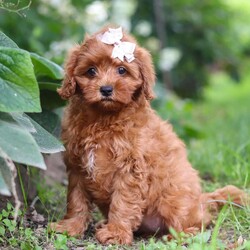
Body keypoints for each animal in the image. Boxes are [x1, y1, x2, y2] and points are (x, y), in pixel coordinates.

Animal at [51, 26, 246, 244]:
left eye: (122, 70)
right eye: (91, 70)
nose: (106, 89)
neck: (103, 118)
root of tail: (201, 201)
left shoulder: (130, 168)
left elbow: (122, 201)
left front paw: (116, 232)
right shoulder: (77, 165)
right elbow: (76, 199)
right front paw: (70, 227)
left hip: (175, 200)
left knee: (198, 224)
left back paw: (177, 235)